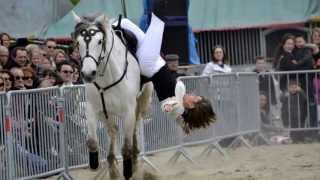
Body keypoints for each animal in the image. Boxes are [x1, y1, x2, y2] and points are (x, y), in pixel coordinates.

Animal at [71, 11, 154, 179]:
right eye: (78, 43)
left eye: (100, 41)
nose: (88, 74)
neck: (106, 78)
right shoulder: (93, 109)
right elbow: (93, 141)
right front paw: (100, 165)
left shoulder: (128, 111)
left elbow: (126, 146)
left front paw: (129, 169)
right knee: (114, 130)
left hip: (142, 99)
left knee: (134, 125)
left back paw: (134, 160)